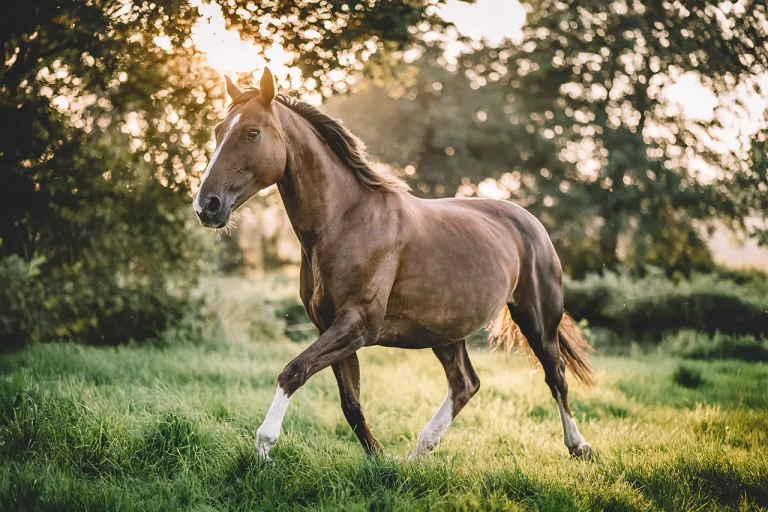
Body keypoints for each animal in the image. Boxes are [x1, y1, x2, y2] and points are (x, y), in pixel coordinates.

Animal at [193, 68, 596, 461]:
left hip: (537, 320)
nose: (206, 205)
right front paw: (379, 461)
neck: (345, 222)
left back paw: (579, 446)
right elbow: (350, 403)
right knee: (465, 384)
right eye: (218, 130)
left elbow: (293, 372)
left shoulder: (358, 324)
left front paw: (264, 449)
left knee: (555, 376)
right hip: (445, 332)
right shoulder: (330, 325)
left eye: (252, 132)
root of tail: (531, 223)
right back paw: (419, 454)